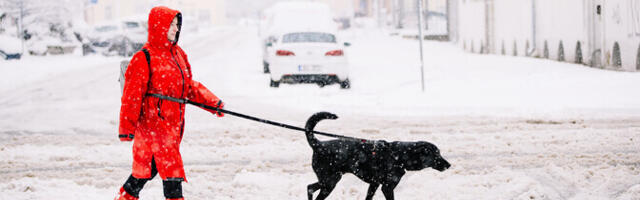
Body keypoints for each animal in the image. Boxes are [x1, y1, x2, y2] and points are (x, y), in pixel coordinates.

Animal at [304, 111, 450, 199]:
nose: (449, 165)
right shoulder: (387, 187)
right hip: (330, 181)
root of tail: (318, 144)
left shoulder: (374, 184)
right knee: (312, 189)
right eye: (436, 154)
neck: (399, 156)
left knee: (310, 187)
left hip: (331, 179)